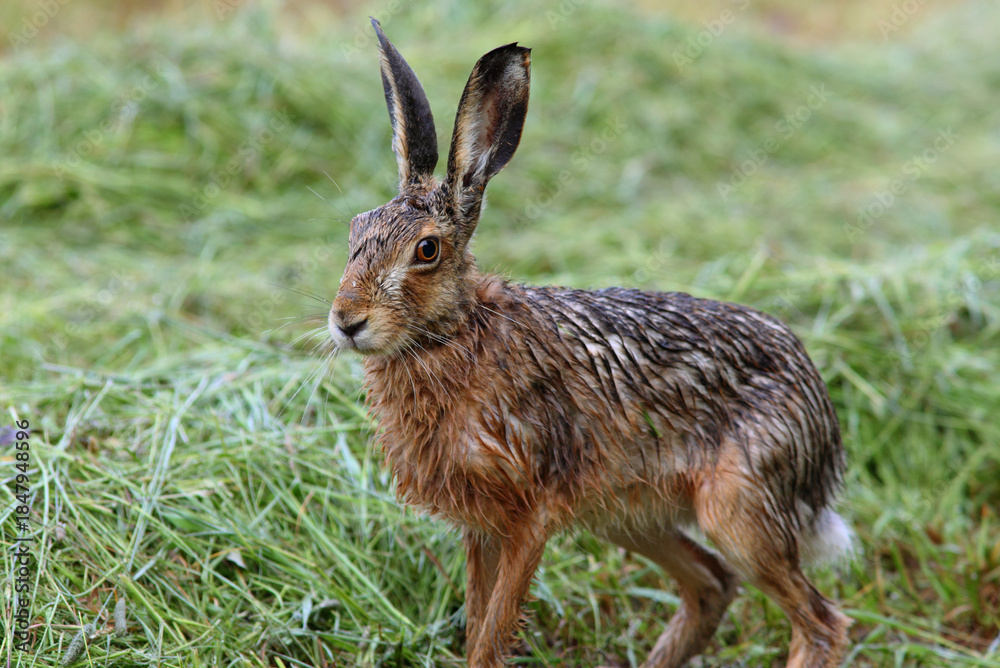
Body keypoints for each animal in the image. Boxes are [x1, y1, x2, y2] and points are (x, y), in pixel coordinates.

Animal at [328, 19, 852, 668]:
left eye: (427, 250)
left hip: (737, 510)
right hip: (626, 514)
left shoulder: (534, 512)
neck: (456, 334)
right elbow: (477, 621)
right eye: (355, 229)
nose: (346, 321)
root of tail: (821, 419)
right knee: (711, 584)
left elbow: (493, 633)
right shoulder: (481, 524)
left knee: (819, 620)